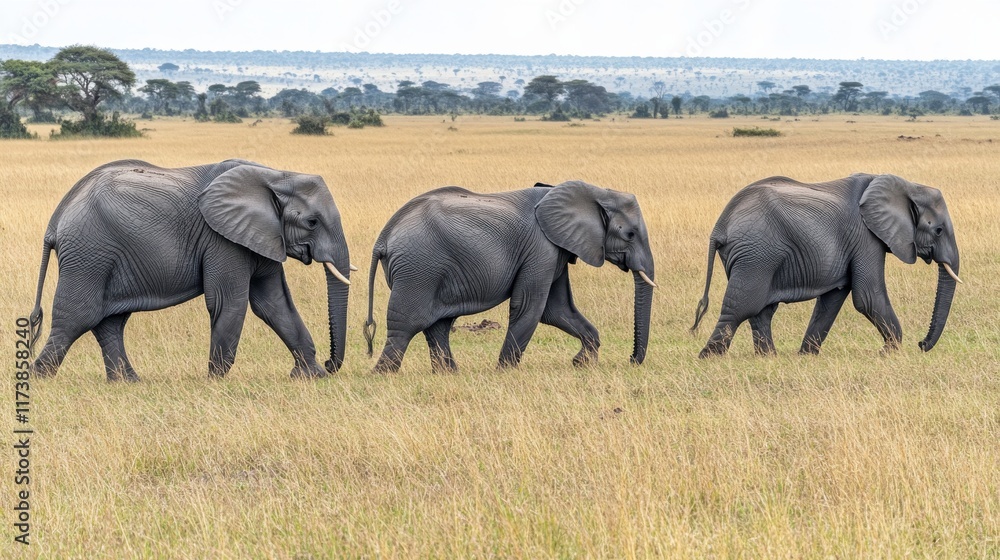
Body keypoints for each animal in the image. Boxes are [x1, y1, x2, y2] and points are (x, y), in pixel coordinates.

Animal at [27, 158, 353, 381]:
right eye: (312, 222)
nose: (329, 365)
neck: (275, 175)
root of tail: (56, 220)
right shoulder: (223, 240)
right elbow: (229, 302)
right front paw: (215, 381)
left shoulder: (263, 236)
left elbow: (275, 304)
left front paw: (310, 376)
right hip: (89, 253)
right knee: (79, 316)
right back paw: (39, 378)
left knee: (110, 321)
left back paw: (128, 382)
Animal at [362, 180, 656, 373]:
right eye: (630, 234)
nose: (631, 360)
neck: (594, 192)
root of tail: (384, 238)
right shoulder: (541, 248)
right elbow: (531, 306)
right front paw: (504, 371)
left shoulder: (556, 250)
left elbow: (558, 309)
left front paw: (581, 363)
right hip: (419, 270)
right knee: (407, 324)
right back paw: (383, 375)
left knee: (438, 326)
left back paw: (448, 373)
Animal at [691, 173, 961, 357]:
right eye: (938, 230)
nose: (921, 344)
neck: (907, 186)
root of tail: (721, 225)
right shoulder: (866, 238)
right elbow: (867, 297)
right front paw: (889, 354)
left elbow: (832, 299)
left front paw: (806, 356)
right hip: (757, 254)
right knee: (743, 306)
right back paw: (709, 357)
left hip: (757, 256)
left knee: (762, 311)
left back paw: (768, 358)